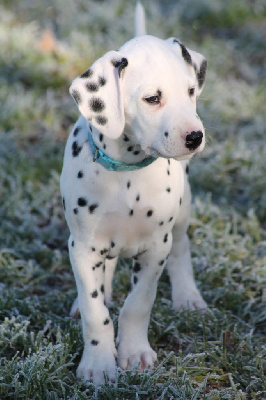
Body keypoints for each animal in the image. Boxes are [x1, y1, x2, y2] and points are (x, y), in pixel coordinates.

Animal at [59, 3, 208, 386]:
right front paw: (98, 363)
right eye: (153, 98)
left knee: (182, 247)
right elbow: (95, 310)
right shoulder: (82, 247)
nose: (195, 137)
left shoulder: (156, 248)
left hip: (182, 214)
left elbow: (138, 304)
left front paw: (135, 351)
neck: (127, 173)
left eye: (191, 91)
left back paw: (188, 296)